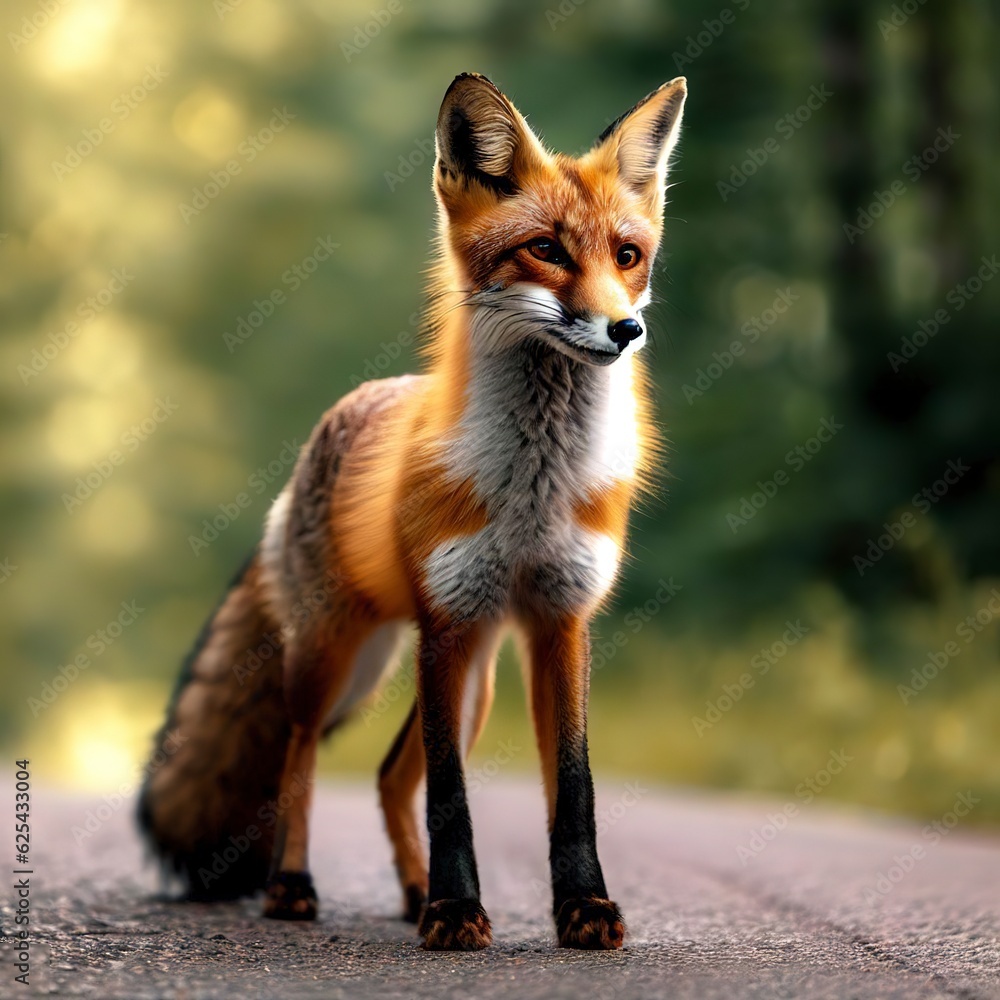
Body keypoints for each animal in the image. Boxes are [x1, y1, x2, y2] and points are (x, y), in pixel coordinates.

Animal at [139, 72, 687, 951]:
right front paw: (456, 913)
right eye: (547, 249)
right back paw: (294, 886)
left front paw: (582, 908)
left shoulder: (560, 621)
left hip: (474, 677)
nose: (625, 329)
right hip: (339, 657)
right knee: (301, 755)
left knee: (389, 776)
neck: (532, 490)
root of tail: (342, 414)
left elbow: (574, 791)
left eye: (628, 256)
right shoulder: (447, 621)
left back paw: (411, 889)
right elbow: (451, 800)